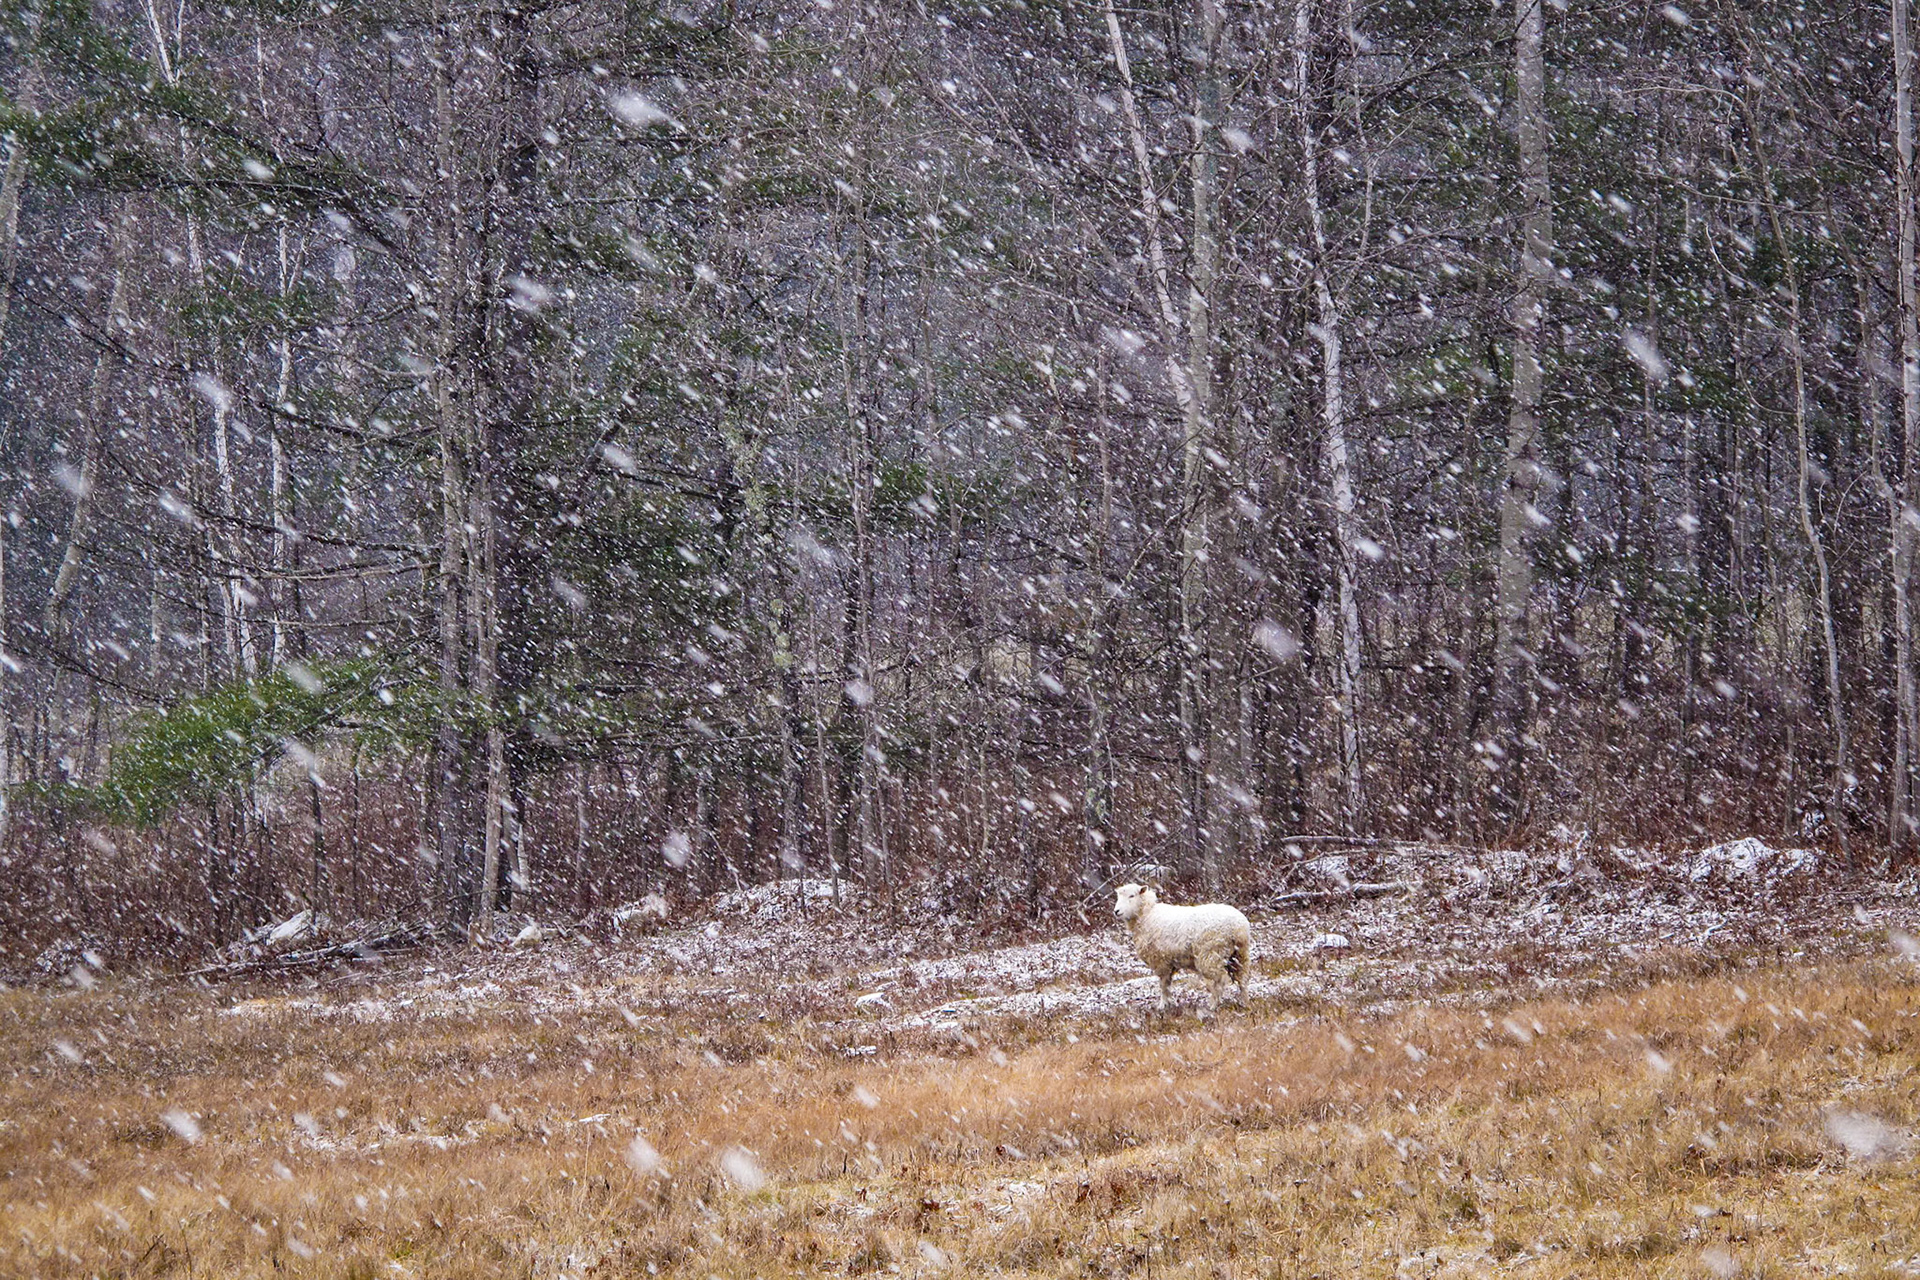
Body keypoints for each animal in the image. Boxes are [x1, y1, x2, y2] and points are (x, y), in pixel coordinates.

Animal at [1113, 882, 1251, 1013]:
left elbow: (1163, 984)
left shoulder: (1160, 961)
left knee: (1220, 980)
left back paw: (1213, 1006)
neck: (1146, 915)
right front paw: (1169, 1004)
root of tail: (1239, 927)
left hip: (1211, 955)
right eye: (1118, 896)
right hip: (1239, 955)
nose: (1116, 911)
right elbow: (1167, 983)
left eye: (1132, 896)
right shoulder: (1168, 962)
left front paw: (1162, 1005)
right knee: (1242, 979)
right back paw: (1244, 1002)